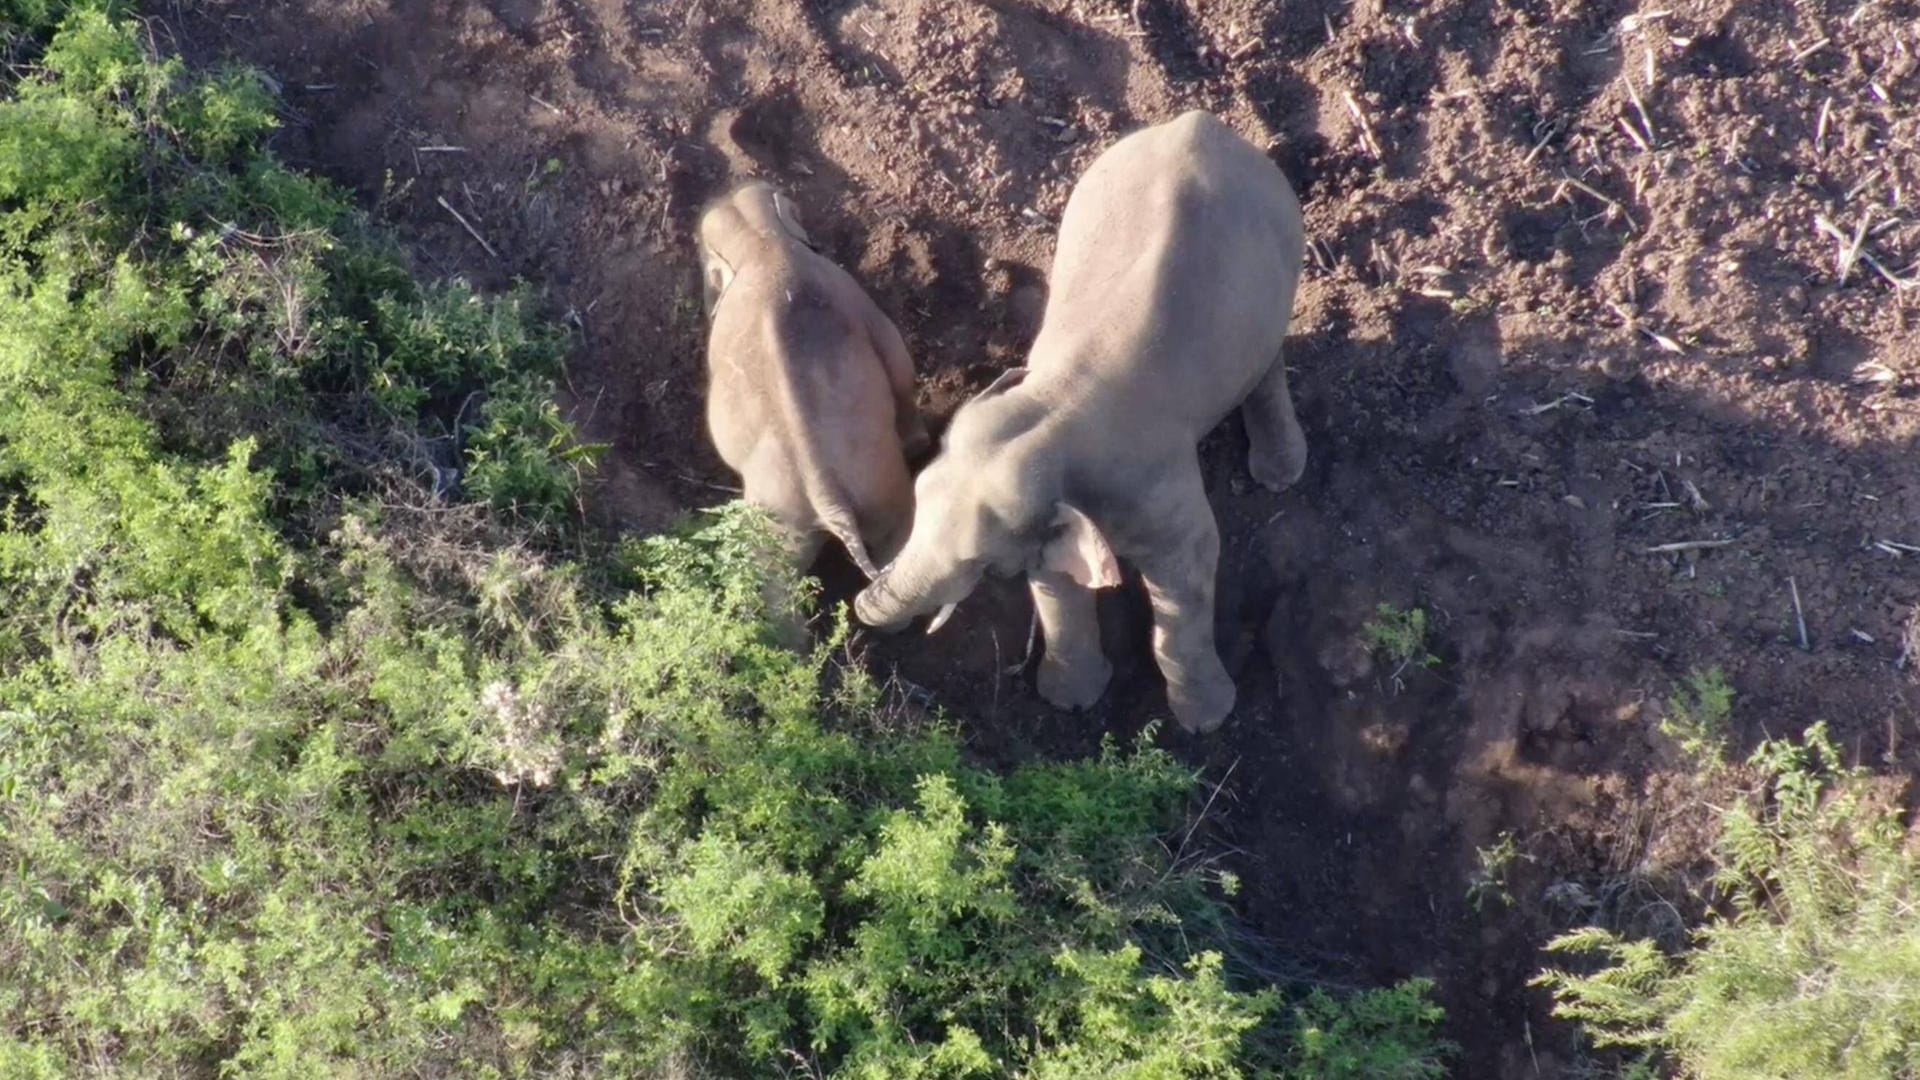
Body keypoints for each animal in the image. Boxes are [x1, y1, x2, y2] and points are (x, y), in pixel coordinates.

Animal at [698, 179, 929, 576]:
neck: (761, 245)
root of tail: (828, 499)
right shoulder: (851, 294)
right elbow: (899, 365)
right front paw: (919, 443)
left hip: (790, 522)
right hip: (875, 489)